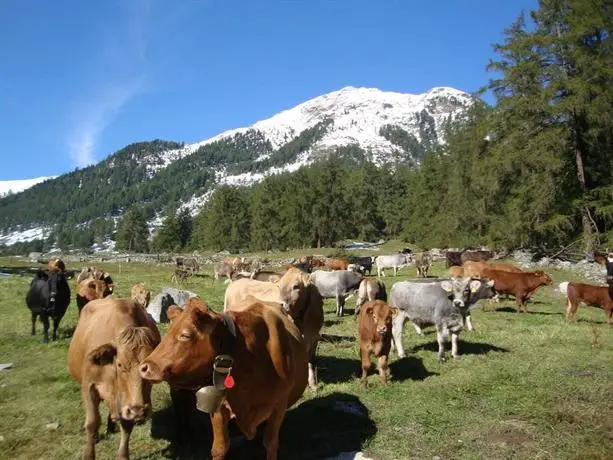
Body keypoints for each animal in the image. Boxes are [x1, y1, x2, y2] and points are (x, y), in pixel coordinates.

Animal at [141, 298, 308, 460]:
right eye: (168, 331)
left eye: (185, 335)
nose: (144, 367)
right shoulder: (219, 407)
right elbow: (220, 448)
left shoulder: (279, 407)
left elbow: (271, 445)